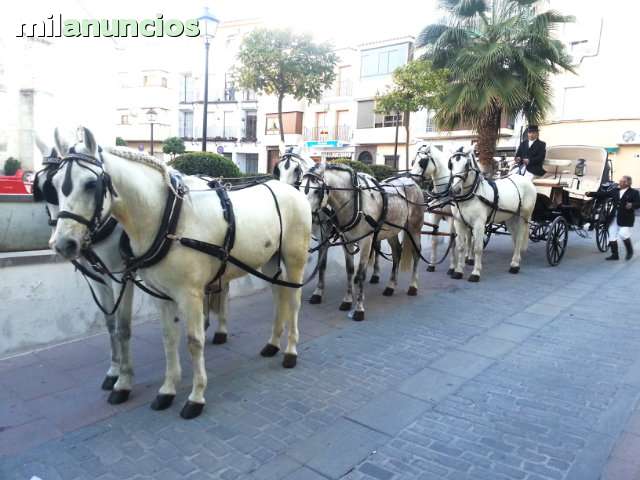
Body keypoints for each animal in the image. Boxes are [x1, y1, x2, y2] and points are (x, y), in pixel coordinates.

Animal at [48, 126, 312, 416]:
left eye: (90, 184)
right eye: (54, 185)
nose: (63, 244)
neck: (169, 217)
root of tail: (290, 189)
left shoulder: (189, 294)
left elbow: (194, 341)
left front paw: (196, 397)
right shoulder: (161, 294)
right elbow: (169, 338)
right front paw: (167, 390)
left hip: (295, 260)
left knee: (294, 302)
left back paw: (290, 351)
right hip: (271, 260)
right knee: (279, 297)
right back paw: (273, 343)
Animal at [302, 163, 424, 320]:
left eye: (317, 191)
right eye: (299, 186)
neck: (355, 202)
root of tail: (412, 182)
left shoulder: (366, 241)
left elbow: (360, 274)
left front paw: (359, 309)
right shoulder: (345, 240)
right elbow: (348, 269)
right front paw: (347, 300)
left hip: (414, 229)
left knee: (416, 253)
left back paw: (413, 286)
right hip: (391, 231)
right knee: (397, 253)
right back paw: (390, 286)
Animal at [448, 148, 536, 280]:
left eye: (467, 165)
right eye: (451, 164)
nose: (455, 190)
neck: (472, 195)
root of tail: (526, 180)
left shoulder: (479, 224)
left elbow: (477, 248)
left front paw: (475, 273)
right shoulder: (459, 222)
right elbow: (461, 247)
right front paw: (458, 271)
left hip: (523, 217)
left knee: (520, 238)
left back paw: (515, 265)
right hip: (511, 218)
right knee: (515, 239)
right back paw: (516, 259)